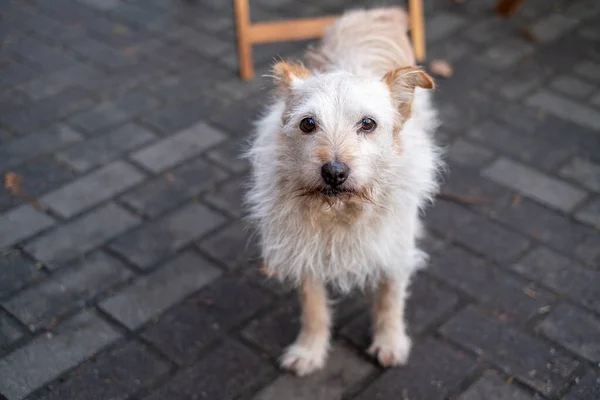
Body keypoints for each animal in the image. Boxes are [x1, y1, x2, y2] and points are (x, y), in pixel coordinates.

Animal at [243, 7, 440, 376]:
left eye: (368, 124)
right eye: (308, 123)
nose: (334, 172)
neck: (340, 211)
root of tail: (372, 12)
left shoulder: (393, 250)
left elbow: (390, 300)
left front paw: (390, 343)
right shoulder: (305, 251)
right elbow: (313, 307)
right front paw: (309, 349)